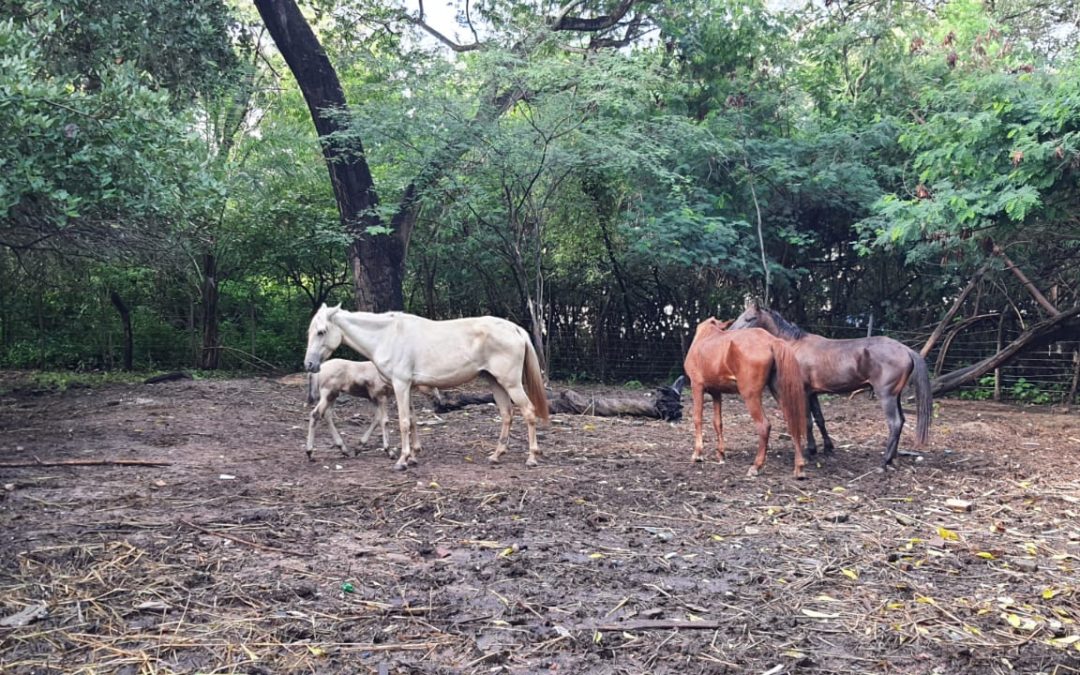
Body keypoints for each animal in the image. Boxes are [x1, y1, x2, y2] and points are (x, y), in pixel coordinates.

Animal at [304, 304, 548, 468]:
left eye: (321, 331)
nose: (309, 364)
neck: (387, 335)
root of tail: (515, 329)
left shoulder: (400, 385)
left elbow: (403, 422)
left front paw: (402, 459)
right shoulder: (408, 387)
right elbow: (412, 420)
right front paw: (413, 456)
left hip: (511, 384)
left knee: (528, 411)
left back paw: (532, 457)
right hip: (495, 382)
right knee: (507, 414)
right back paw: (497, 455)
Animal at [686, 317, 807, 479]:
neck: (705, 336)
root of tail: (771, 340)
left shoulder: (697, 386)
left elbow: (697, 418)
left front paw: (698, 454)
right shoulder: (716, 393)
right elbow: (717, 423)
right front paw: (721, 454)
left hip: (750, 395)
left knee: (764, 426)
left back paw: (756, 466)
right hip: (781, 394)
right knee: (793, 422)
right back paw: (799, 467)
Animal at [730, 302, 933, 466]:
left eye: (750, 318)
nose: (732, 333)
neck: (794, 345)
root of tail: (906, 349)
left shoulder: (804, 392)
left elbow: (807, 421)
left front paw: (810, 450)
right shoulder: (813, 393)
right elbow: (820, 420)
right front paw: (827, 447)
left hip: (887, 396)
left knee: (895, 423)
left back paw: (885, 461)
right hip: (895, 396)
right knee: (902, 421)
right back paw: (893, 457)